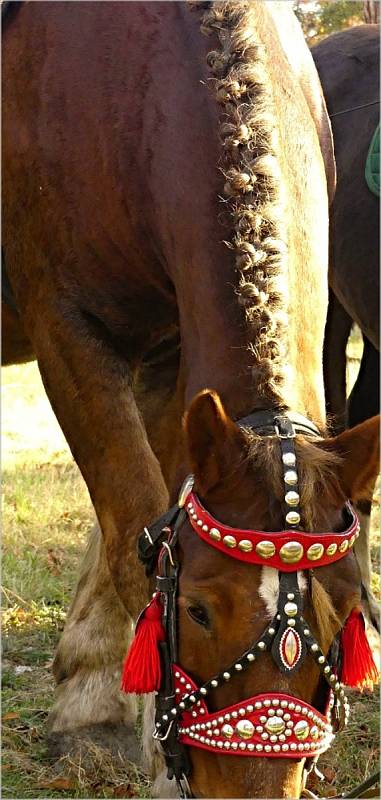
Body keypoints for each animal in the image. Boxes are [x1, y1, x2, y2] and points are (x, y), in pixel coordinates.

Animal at [2, 3, 378, 796]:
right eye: (199, 611)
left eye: (346, 613)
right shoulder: (68, 326)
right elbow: (129, 529)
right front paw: (114, 722)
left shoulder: (174, 354)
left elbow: (147, 514)